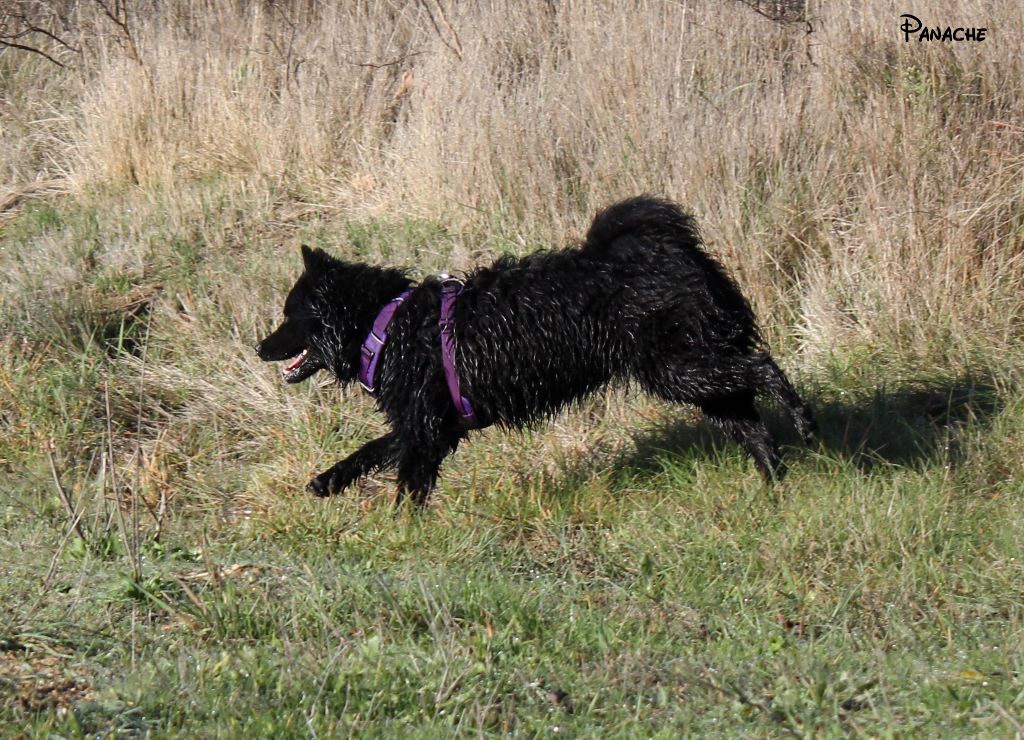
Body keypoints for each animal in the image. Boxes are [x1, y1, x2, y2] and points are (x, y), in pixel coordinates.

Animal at [256, 196, 815, 506]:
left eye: (288, 315)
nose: (259, 347)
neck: (385, 323)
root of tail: (667, 250)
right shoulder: (430, 423)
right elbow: (372, 451)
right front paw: (327, 482)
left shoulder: (425, 429)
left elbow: (406, 482)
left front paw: (402, 529)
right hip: (695, 371)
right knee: (750, 421)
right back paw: (775, 486)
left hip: (675, 367)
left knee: (762, 368)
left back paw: (802, 418)